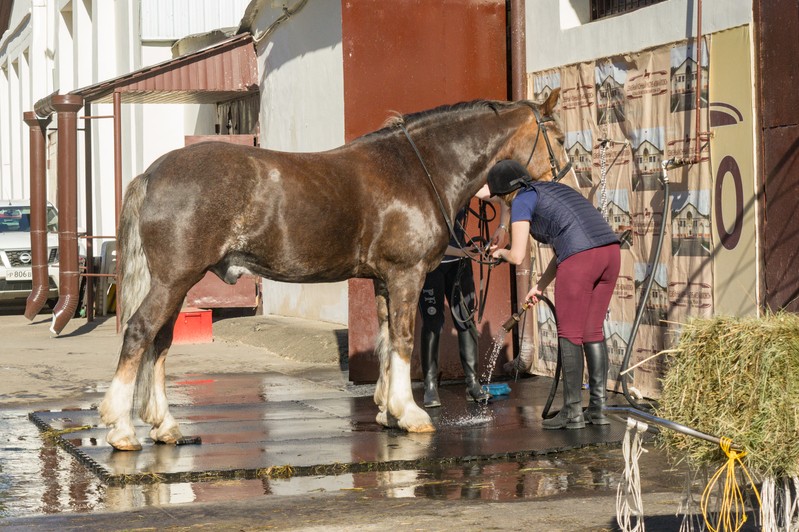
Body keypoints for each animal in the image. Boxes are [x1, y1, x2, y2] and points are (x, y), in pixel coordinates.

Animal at [98, 90, 568, 448]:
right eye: (559, 137)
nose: (569, 182)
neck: (417, 169)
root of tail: (152, 174)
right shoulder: (407, 275)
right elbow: (403, 339)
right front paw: (410, 413)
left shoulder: (383, 280)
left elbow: (385, 340)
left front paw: (387, 411)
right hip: (174, 280)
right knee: (141, 333)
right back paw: (121, 427)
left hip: (175, 284)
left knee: (160, 342)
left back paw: (166, 426)